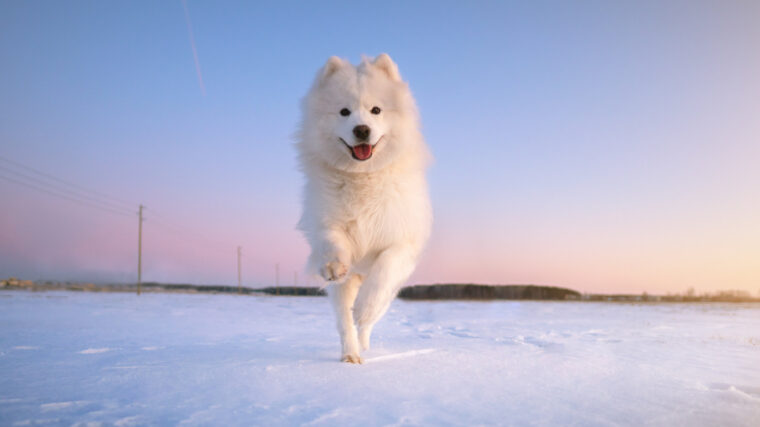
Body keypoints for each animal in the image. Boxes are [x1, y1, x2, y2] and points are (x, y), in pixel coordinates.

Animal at [296, 54, 430, 364]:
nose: (361, 130)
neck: (363, 177)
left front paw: (364, 308)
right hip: (342, 290)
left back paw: (365, 337)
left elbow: (385, 269)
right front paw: (334, 264)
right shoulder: (326, 222)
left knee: (367, 319)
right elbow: (332, 240)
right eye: (344, 112)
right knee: (344, 323)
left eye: (376, 110)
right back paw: (351, 356)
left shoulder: (402, 239)